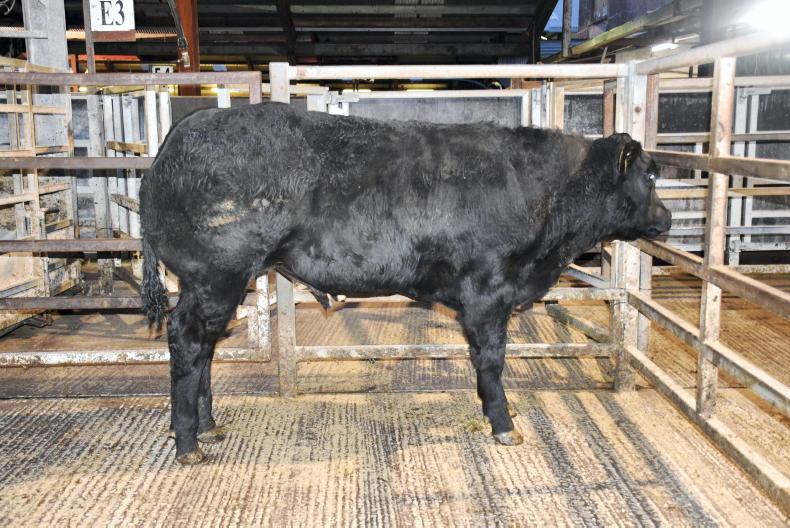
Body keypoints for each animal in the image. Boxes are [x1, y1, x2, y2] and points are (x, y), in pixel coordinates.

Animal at [139, 102, 671, 464]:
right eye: (649, 175)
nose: (666, 220)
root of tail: (182, 133)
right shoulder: (488, 290)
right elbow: (491, 360)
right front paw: (503, 424)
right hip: (215, 277)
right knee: (187, 342)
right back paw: (187, 442)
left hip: (213, 284)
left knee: (204, 349)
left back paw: (208, 427)